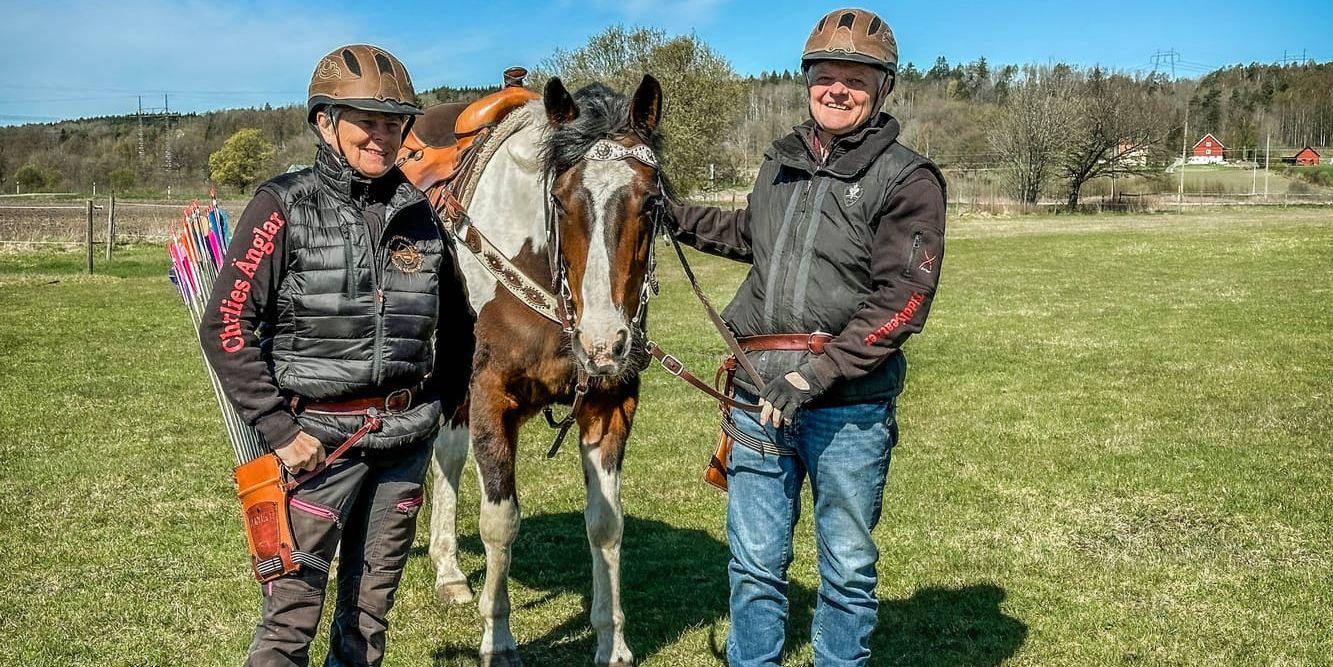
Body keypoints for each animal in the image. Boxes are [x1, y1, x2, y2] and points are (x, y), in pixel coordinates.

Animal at [426, 74, 666, 667]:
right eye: (559, 199)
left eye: (651, 202)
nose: (604, 342)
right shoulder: (489, 395)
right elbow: (499, 522)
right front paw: (498, 640)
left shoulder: (610, 402)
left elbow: (606, 524)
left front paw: (612, 642)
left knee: (447, 455)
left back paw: (448, 571)